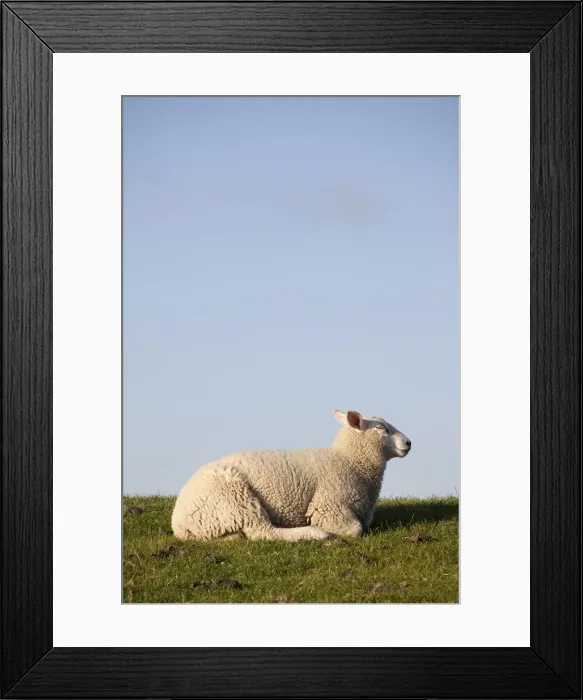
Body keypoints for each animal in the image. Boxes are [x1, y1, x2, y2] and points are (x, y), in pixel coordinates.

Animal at [171, 409, 411, 542]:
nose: (408, 442)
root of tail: (178, 521)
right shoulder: (328, 506)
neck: (349, 461)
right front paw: (328, 531)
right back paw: (314, 533)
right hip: (236, 498)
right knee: (264, 532)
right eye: (381, 428)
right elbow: (354, 529)